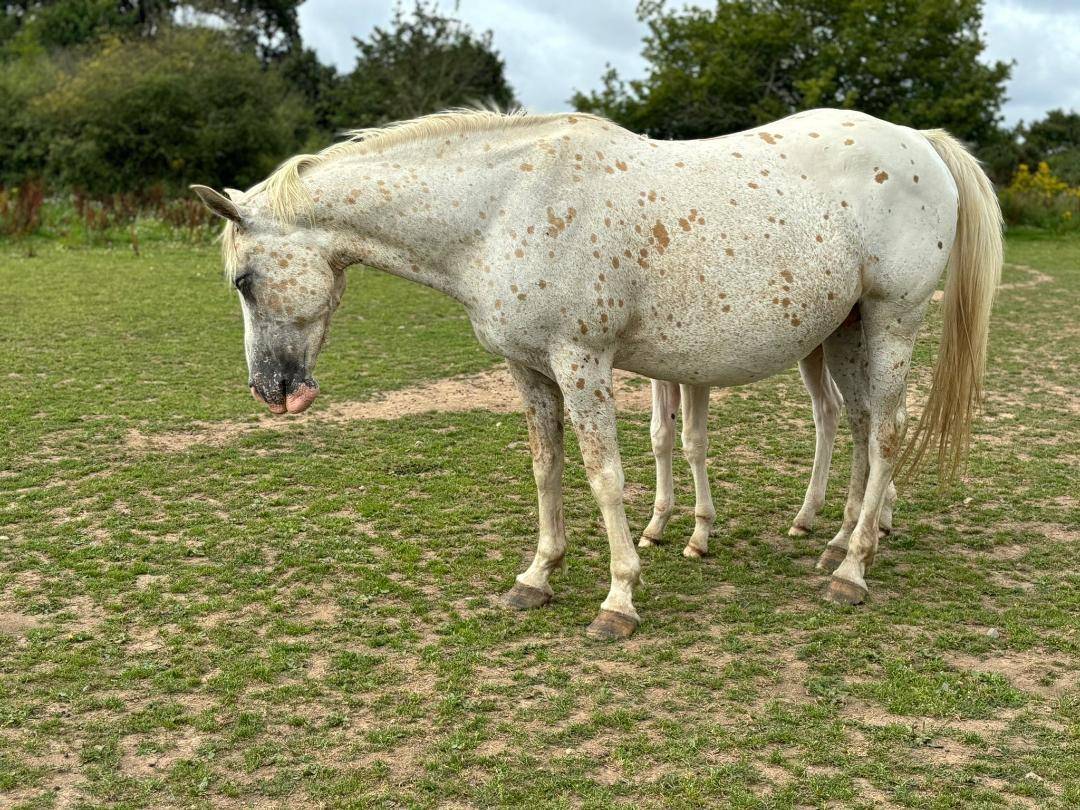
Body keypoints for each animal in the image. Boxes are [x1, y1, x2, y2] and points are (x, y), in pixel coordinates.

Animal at [192, 107, 1002, 640]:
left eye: (242, 280)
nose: (272, 392)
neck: (503, 207)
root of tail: (921, 144)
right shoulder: (529, 369)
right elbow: (547, 468)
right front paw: (536, 578)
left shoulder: (582, 362)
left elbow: (603, 474)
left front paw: (618, 599)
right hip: (848, 333)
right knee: (862, 430)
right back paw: (837, 541)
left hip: (892, 322)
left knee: (887, 434)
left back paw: (852, 572)